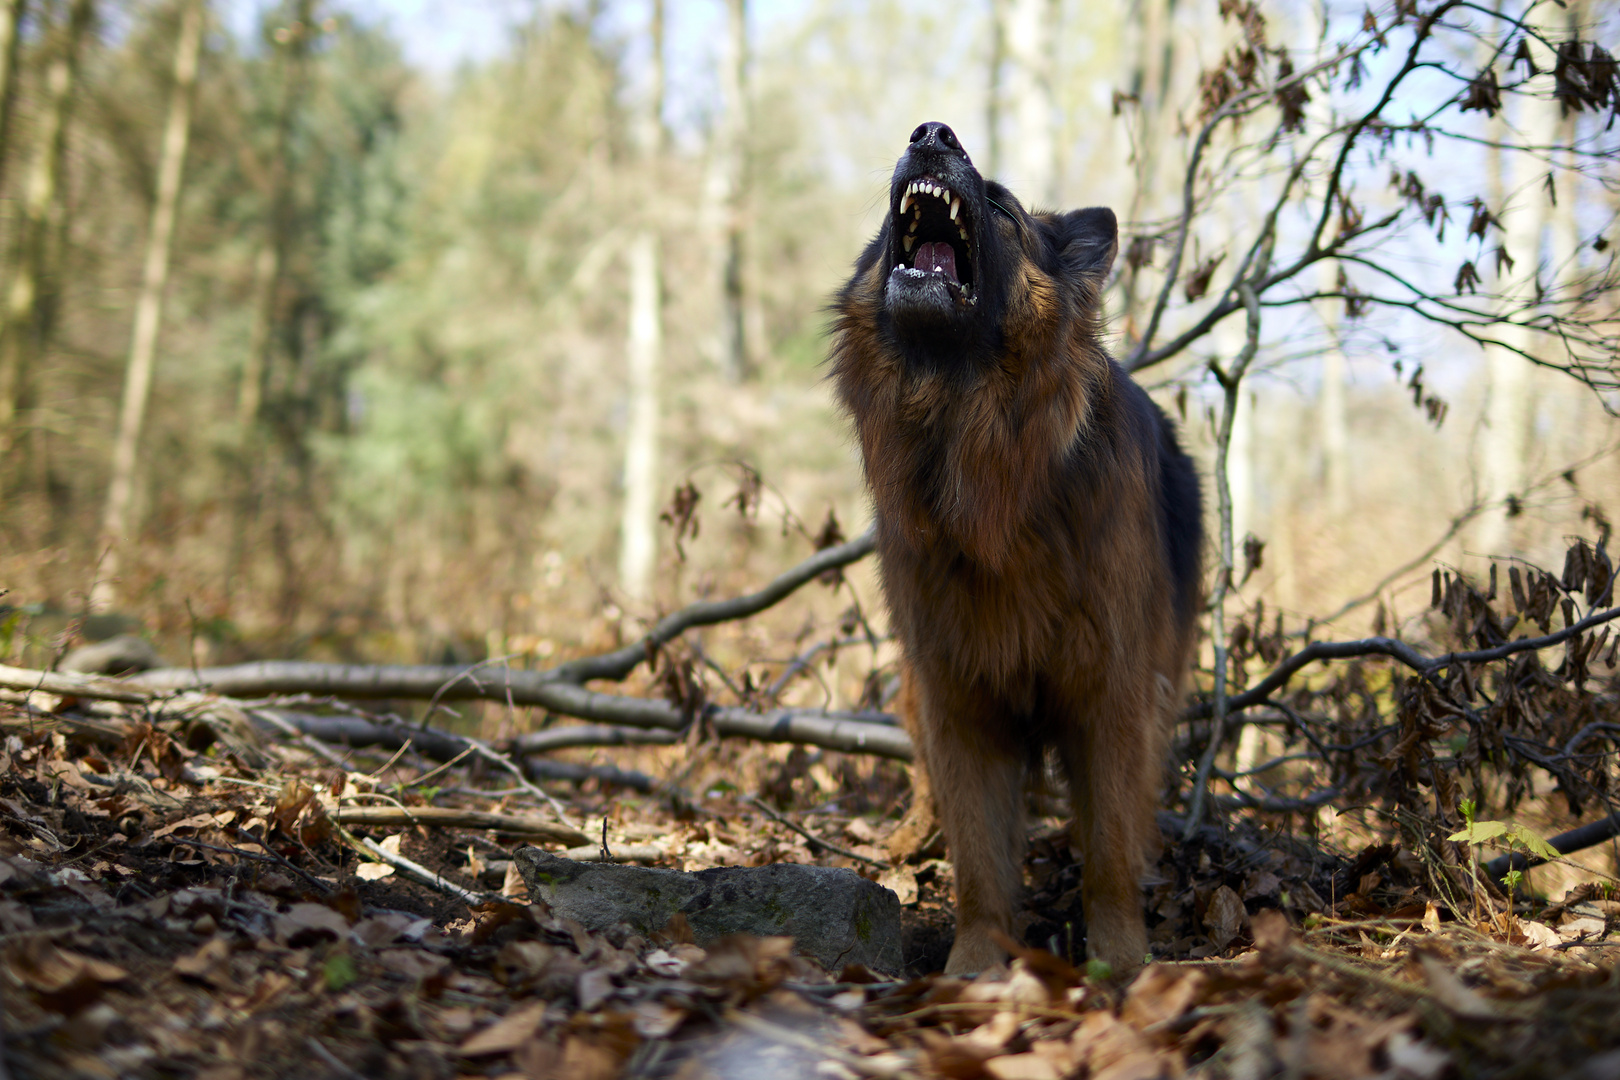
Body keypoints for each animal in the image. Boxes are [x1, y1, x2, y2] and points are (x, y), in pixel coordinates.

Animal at [829, 122, 1198, 977]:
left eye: (1002, 209)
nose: (931, 133)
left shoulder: (1112, 697)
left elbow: (1108, 853)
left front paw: (1121, 960)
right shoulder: (959, 698)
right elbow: (980, 860)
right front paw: (975, 964)